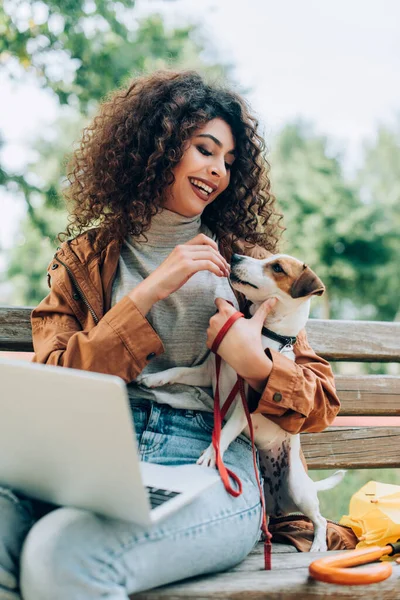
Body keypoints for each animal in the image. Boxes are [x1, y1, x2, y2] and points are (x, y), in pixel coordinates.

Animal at [138, 251, 344, 552]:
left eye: (277, 267)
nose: (235, 256)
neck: (262, 334)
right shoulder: (207, 373)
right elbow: (178, 371)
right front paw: (154, 378)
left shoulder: (242, 405)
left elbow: (224, 433)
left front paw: (211, 454)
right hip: (270, 498)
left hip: (299, 489)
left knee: (320, 519)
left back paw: (318, 544)